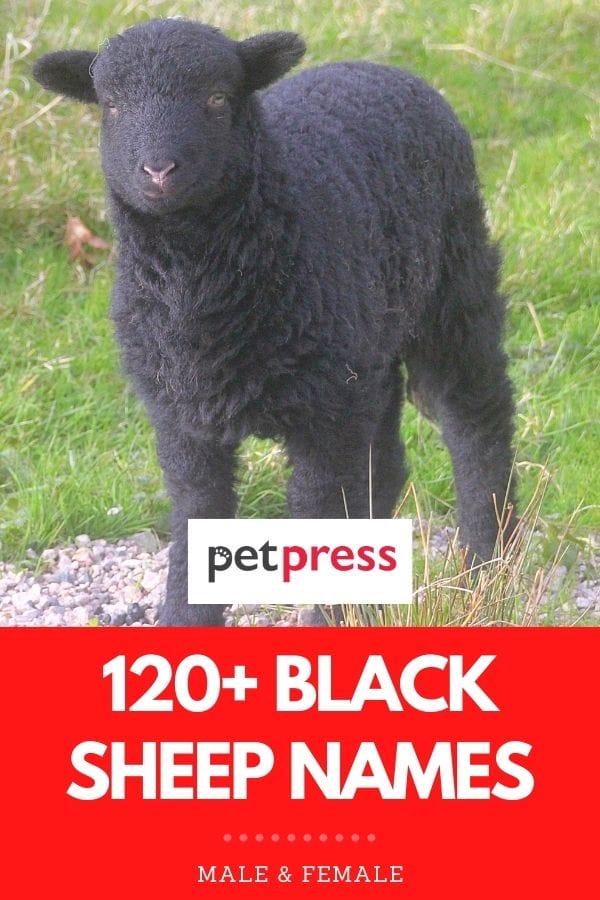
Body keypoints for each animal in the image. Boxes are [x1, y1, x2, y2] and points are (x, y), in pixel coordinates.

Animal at [33, 18, 516, 626]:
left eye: (219, 98)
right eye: (112, 106)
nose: (159, 171)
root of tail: (377, 67)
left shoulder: (324, 417)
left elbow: (322, 511)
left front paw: (326, 619)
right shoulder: (181, 413)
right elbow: (198, 511)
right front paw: (186, 619)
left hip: (452, 286)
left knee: (475, 416)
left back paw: (486, 566)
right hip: (366, 351)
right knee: (384, 465)